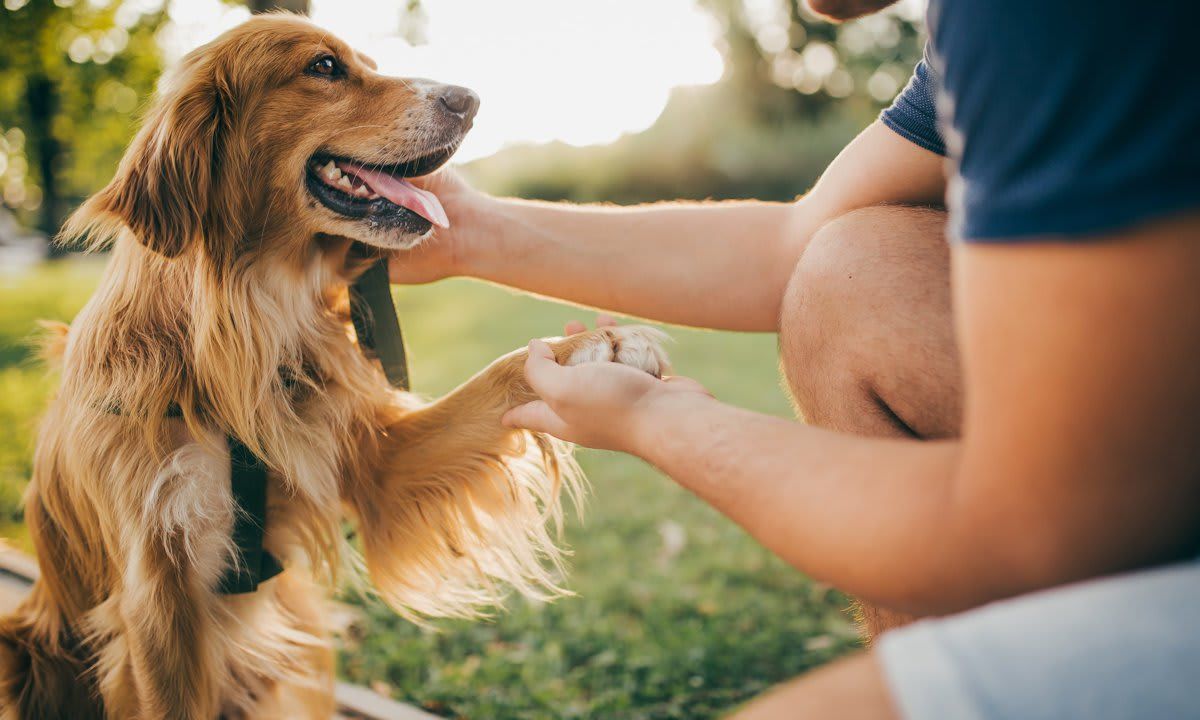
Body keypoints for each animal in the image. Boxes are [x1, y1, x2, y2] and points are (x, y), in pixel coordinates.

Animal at [0, 16, 672, 720]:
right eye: (324, 67)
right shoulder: (157, 601)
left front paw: (600, 345)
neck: (243, 327)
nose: (470, 99)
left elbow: (498, 376)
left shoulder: (374, 462)